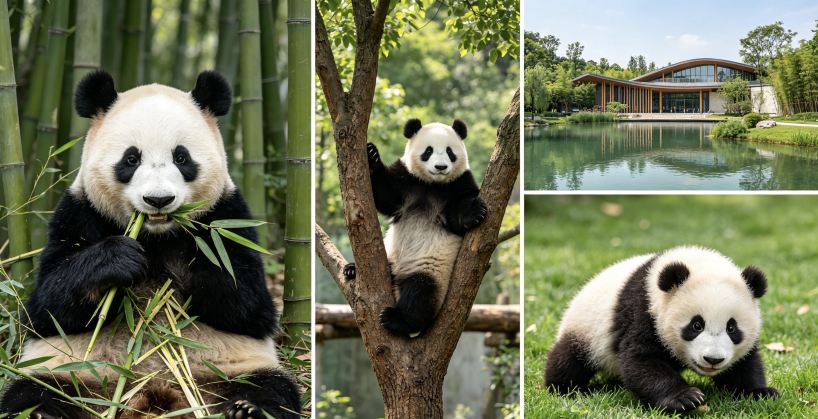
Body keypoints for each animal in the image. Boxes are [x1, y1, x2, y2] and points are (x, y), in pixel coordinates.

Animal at [0, 71, 300, 418]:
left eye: (181, 157)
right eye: (131, 158)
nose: (159, 200)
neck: (156, 237)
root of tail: (156, 391)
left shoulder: (229, 213)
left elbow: (249, 306)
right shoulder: (79, 211)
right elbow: (46, 307)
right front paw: (118, 260)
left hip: (235, 368)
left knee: (273, 388)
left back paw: (247, 408)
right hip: (69, 371)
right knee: (33, 391)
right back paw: (40, 412)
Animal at [343, 119, 488, 337]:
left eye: (450, 152)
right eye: (428, 151)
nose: (440, 167)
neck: (432, 184)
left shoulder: (460, 182)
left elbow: (459, 216)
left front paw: (475, 211)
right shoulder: (407, 179)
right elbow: (386, 196)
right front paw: (372, 155)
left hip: (431, 270)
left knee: (421, 293)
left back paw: (397, 319)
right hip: (392, 257)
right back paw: (352, 269)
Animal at [544, 246, 779, 412]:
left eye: (732, 328)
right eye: (696, 325)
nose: (713, 359)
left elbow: (744, 365)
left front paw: (760, 392)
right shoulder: (644, 312)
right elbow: (642, 361)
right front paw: (685, 398)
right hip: (584, 329)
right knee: (568, 361)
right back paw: (565, 388)